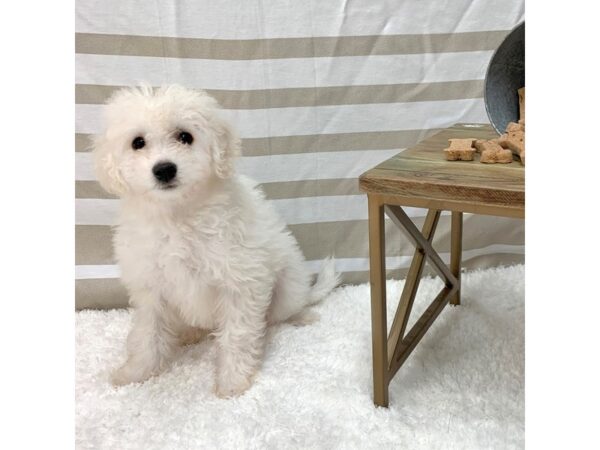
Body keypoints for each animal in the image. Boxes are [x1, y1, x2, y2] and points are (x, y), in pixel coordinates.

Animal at [91, 85, 340, 398]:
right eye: (138, 143)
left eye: (185, 136)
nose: (164, 169)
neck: (178, 214)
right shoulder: (150, 285)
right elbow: (147, 333)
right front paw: (136, 372)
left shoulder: (240, 281)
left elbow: (238, 334)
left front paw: (232, 381)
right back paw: (189, 334)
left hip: (287, 288)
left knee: (283, 311)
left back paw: (302, 316)